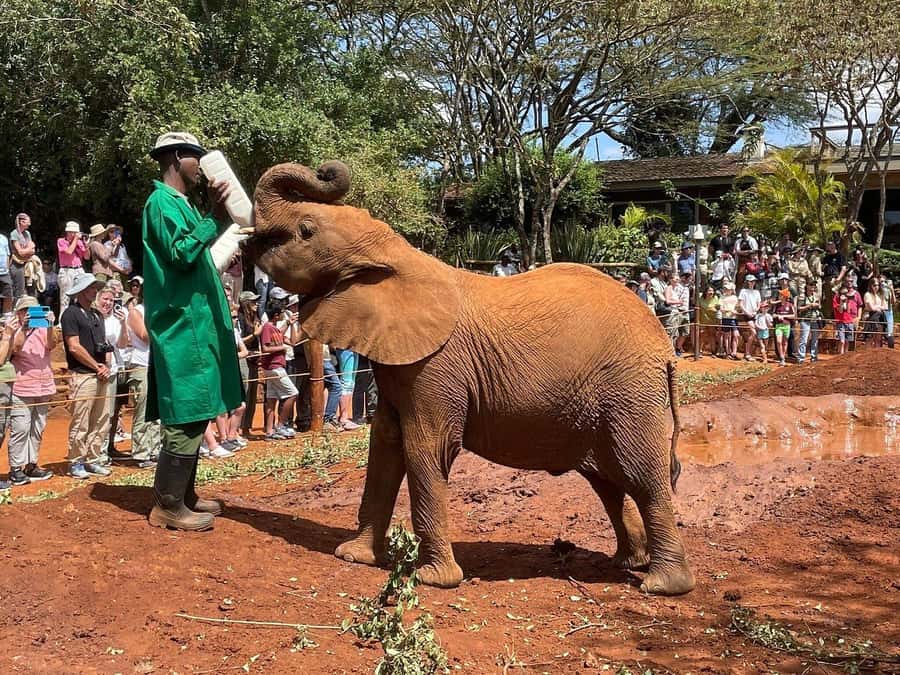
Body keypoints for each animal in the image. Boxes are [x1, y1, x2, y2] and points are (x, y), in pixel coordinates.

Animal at [244, 161, 695, 596]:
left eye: (305, 230)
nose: (325, 171)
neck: (398, 255)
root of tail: (664, 346)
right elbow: (385, 446)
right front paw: (353, 556)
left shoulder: (437, 366)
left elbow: (425, 448)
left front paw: (432, 579)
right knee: (609, 481)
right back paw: (628, 562)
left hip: (628, 391)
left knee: (641, 476)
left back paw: (663, 585)